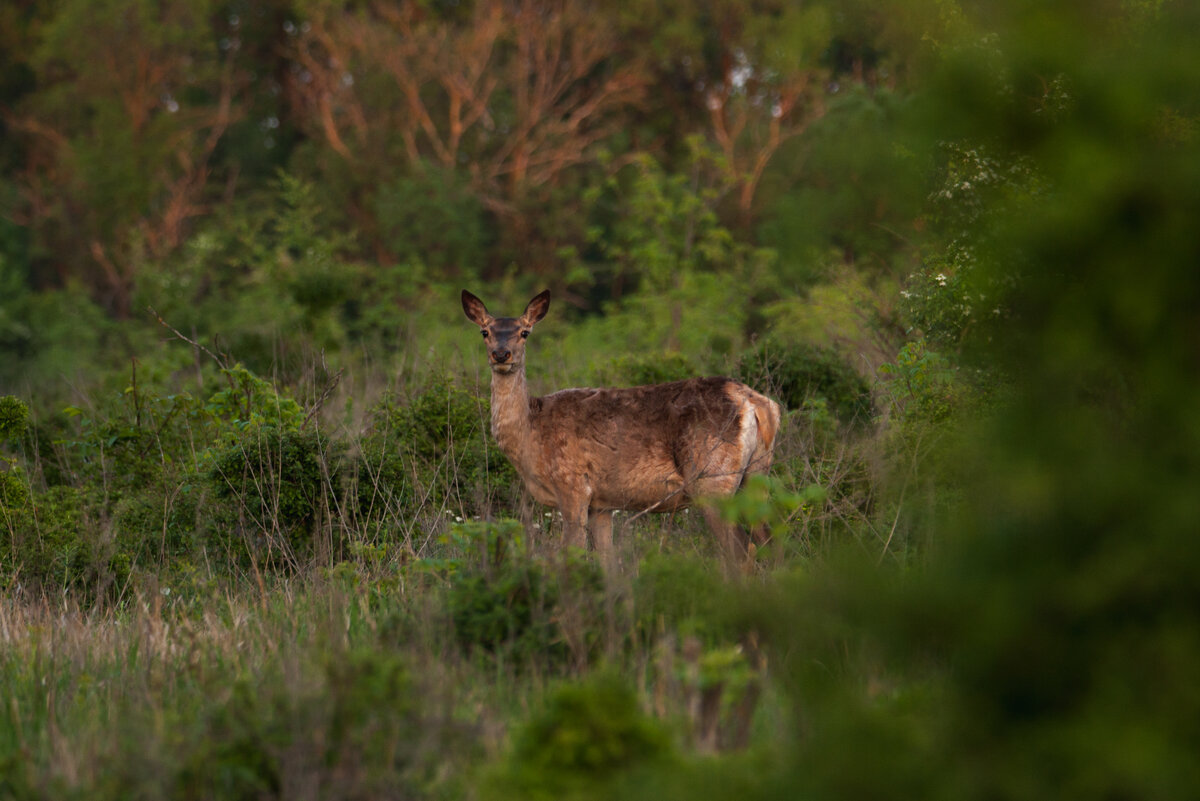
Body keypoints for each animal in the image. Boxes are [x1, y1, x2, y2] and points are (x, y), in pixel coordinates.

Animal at [460, 288, 787, 563]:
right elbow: (608, 562)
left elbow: (572, 554)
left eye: (525, 332)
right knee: (769, 543)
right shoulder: (603, 503)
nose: (501, 354)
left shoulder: (572, 485)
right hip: (756, 474)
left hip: (712, 478)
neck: (531, 434)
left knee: (742, 551)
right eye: (485, 331)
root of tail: (758, 404)